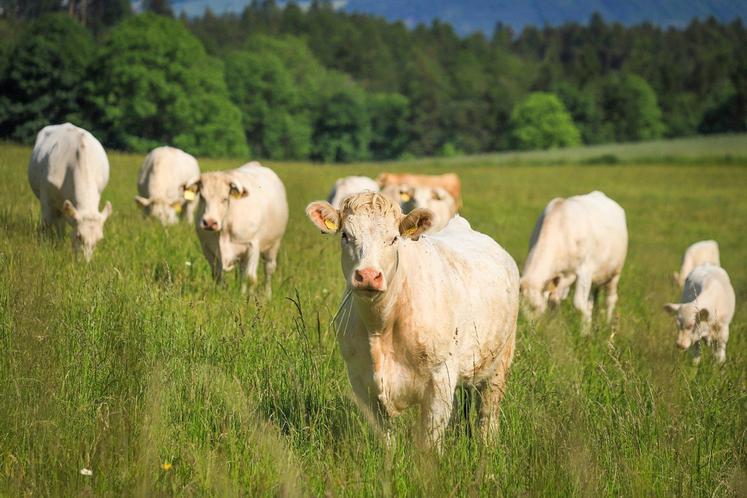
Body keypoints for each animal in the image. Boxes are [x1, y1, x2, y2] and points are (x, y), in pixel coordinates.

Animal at [27, 123, 113, 262]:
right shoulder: (46, 197)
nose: (85, 263)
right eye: (79, 236)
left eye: (99, 239)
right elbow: (47, 224)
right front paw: (46, 247)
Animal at [187, 161, 290, 296]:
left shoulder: (253, 246)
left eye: (225, 199)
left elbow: (251, 278)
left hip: (273, 246)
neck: (225, 229)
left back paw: (267, 295)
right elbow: (218, 276)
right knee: (242, 272)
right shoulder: (207, 248)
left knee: (268, 270)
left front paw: (250, 300)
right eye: (202, 198)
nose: (209, 222)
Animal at [304, 193, 520, 450]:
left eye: (394, 238)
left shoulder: (440, 379)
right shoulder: (361, 379)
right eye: (346, 235)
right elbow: (386, 438)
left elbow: (430, 442)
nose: (368, 275)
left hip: (500, 362)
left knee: (488, 415)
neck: (380, 327)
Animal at [520, 192, 632, 330]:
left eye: (535, 307)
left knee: (610, 299)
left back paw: (607, 324)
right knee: (591, 301)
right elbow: (555, 302)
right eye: (520, 311)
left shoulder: (585, 270)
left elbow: (578, 303)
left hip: (615, 273)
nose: (530, 329)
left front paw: (585, 331)